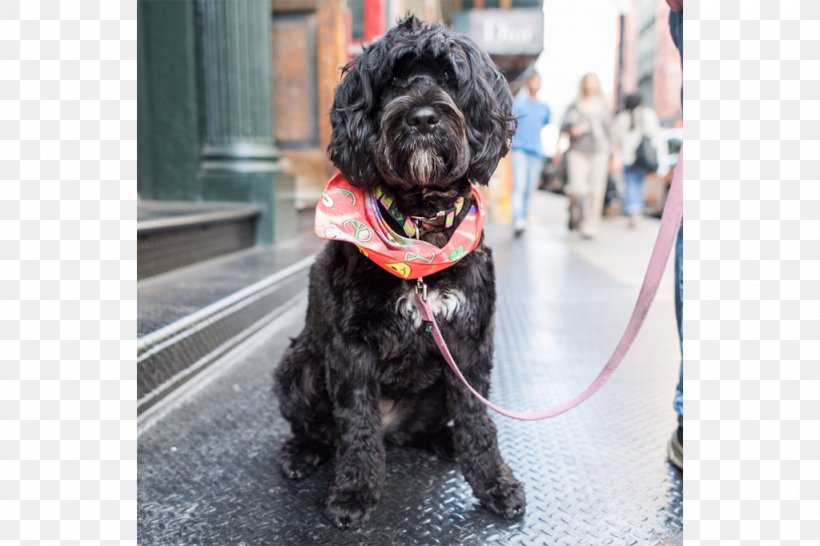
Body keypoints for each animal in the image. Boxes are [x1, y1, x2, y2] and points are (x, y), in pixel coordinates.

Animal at [272, 15, 524, 528]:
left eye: (449, 77)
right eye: (391, 81)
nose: (423, 117)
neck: (419, 230)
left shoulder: (468, 344)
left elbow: (477, 421)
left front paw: (494, 482)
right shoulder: (351, 348)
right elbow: (357, 426)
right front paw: (355, 492)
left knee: (426, 429)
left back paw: (443, 442)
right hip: (299, 365)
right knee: (325, 431)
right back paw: (301, 452)